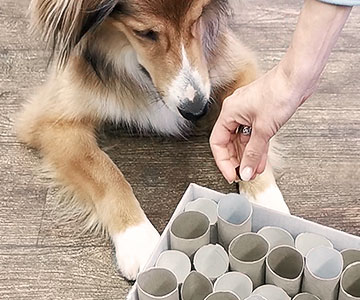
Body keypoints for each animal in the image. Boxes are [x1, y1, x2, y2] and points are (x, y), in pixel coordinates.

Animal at [16, 0, 290, 280]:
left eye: (197, 19)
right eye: (145, 33)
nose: (197, 110)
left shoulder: (237, 69)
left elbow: (251, 134)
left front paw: (267, 200)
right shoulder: (52, 121)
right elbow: (106, 174)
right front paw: (137, 237)